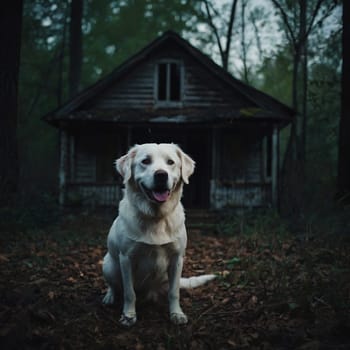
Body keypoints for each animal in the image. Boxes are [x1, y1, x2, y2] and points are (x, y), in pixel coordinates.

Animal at [102, 144, 215, 326]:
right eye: (145, 161)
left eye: (170, 162)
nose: (161, 175)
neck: (156, 217)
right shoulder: (126, 258)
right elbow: (129, 293)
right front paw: (129, 315)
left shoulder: (177, 258)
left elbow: (174, 292)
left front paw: (176, 314)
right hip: (109, 264)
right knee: (113, 285)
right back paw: (110, 297)